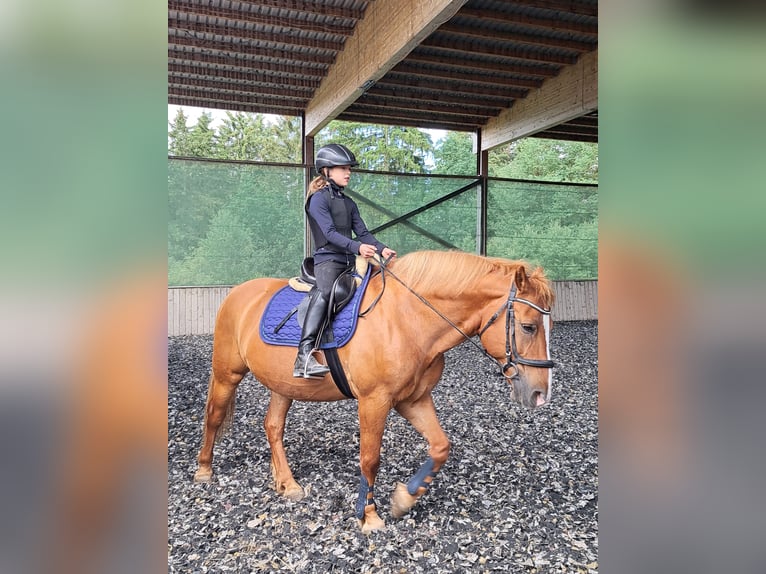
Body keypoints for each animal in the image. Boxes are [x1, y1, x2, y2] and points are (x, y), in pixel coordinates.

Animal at [195, 252, 556, 536]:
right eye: (528, 327)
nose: (540, 394)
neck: (409, 319)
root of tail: (239, 293)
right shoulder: (374, 401)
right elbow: (370, 459)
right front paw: (368, 517)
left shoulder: (413, 399)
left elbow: (440, 446)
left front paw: (403, 499)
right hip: (227, 374)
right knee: (214, 416)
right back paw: (204, 471)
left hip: (283, 384)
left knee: (273, 426)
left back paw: (287, 483)